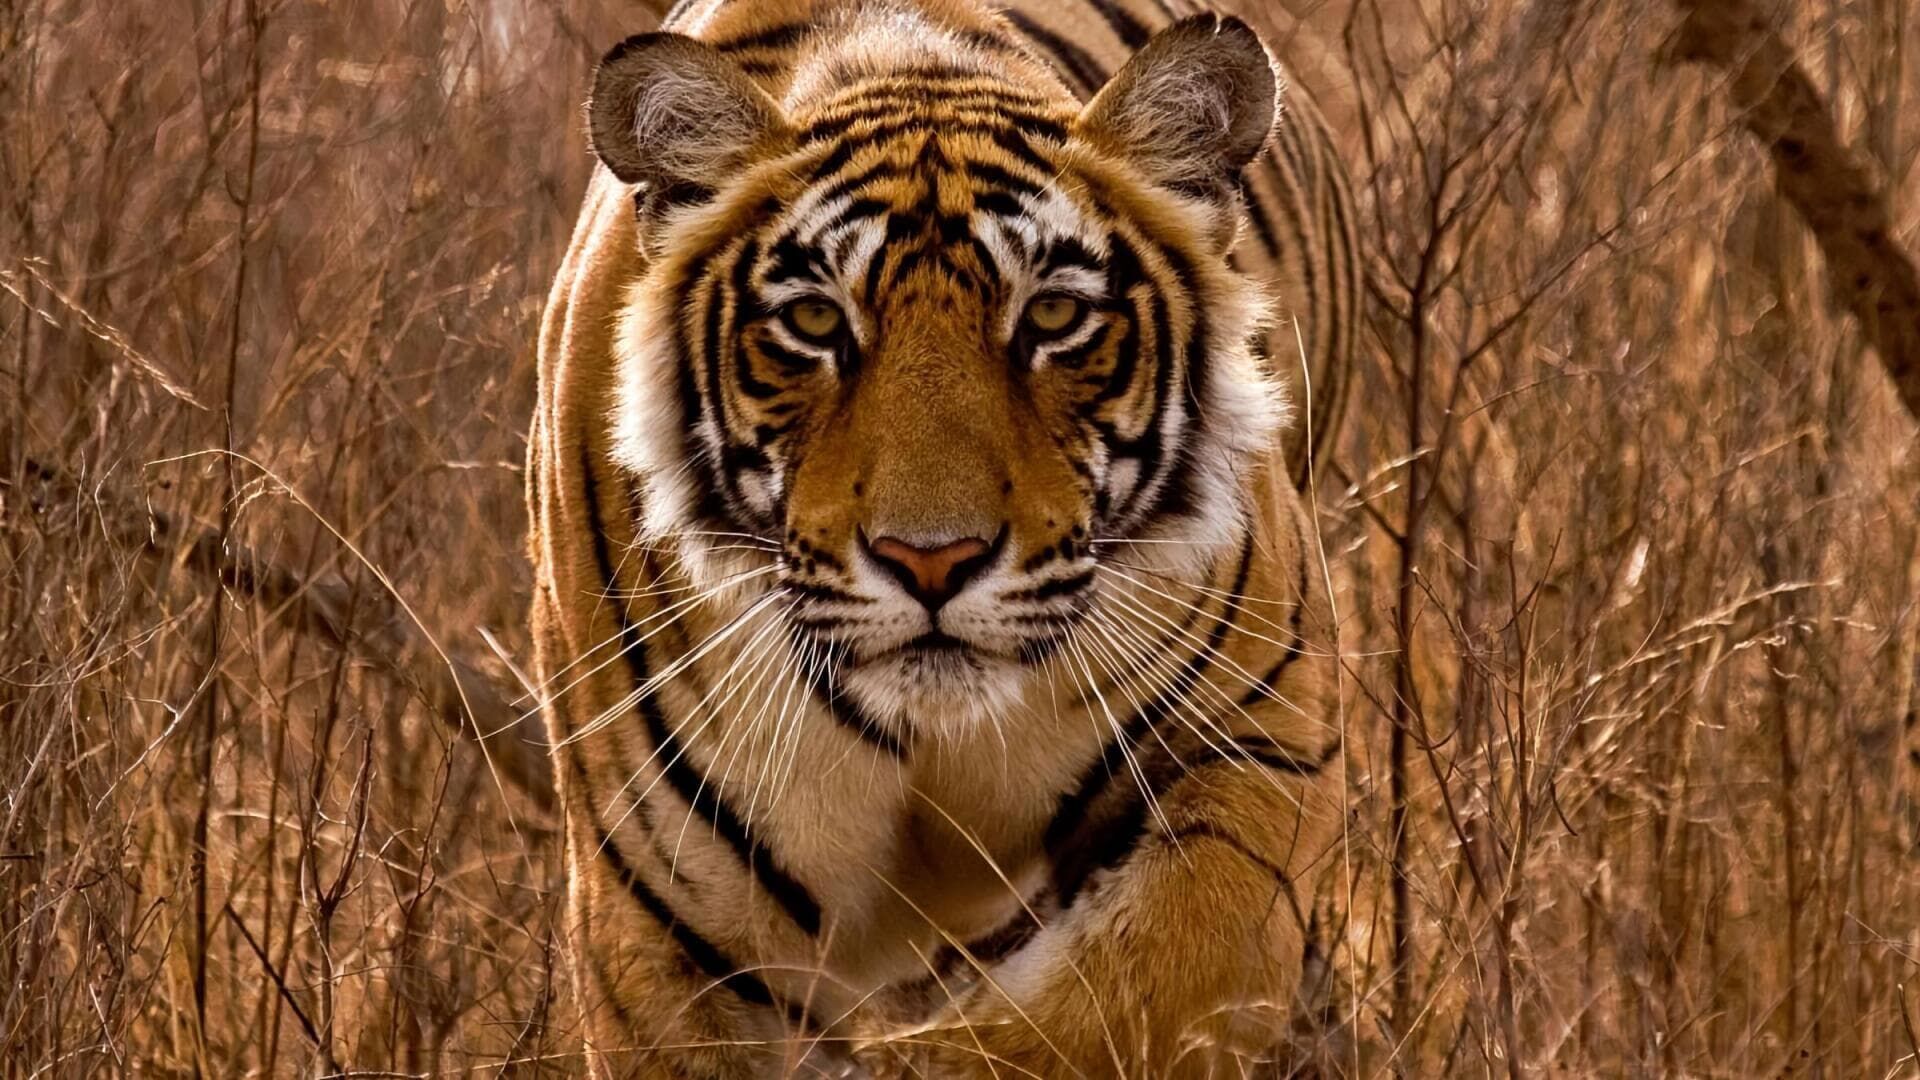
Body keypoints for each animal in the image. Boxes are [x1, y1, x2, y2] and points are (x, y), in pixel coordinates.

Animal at [526, 0, 1358, 1075]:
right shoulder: (661, 918)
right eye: (813, 321)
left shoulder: (1260, 746)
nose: (933, 562)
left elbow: (1102, 1002)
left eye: (1053, 314)